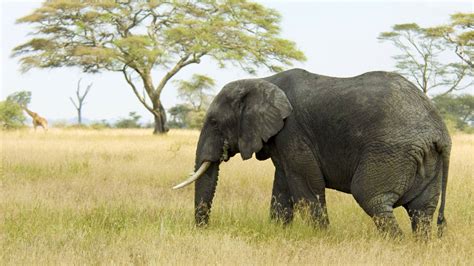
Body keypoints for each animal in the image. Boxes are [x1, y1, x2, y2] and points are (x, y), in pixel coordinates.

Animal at [174, 68, 452, 239]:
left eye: (214, 123)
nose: (203, 229)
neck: (263, 80)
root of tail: (440, 132)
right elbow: (283, 186)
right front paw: (279, 233)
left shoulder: (293, 131)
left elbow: (307, 186)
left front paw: (321, 237)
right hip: (426, 159)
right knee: (421, 211)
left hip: (391, 151)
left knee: (371, 197)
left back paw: (396, 244)